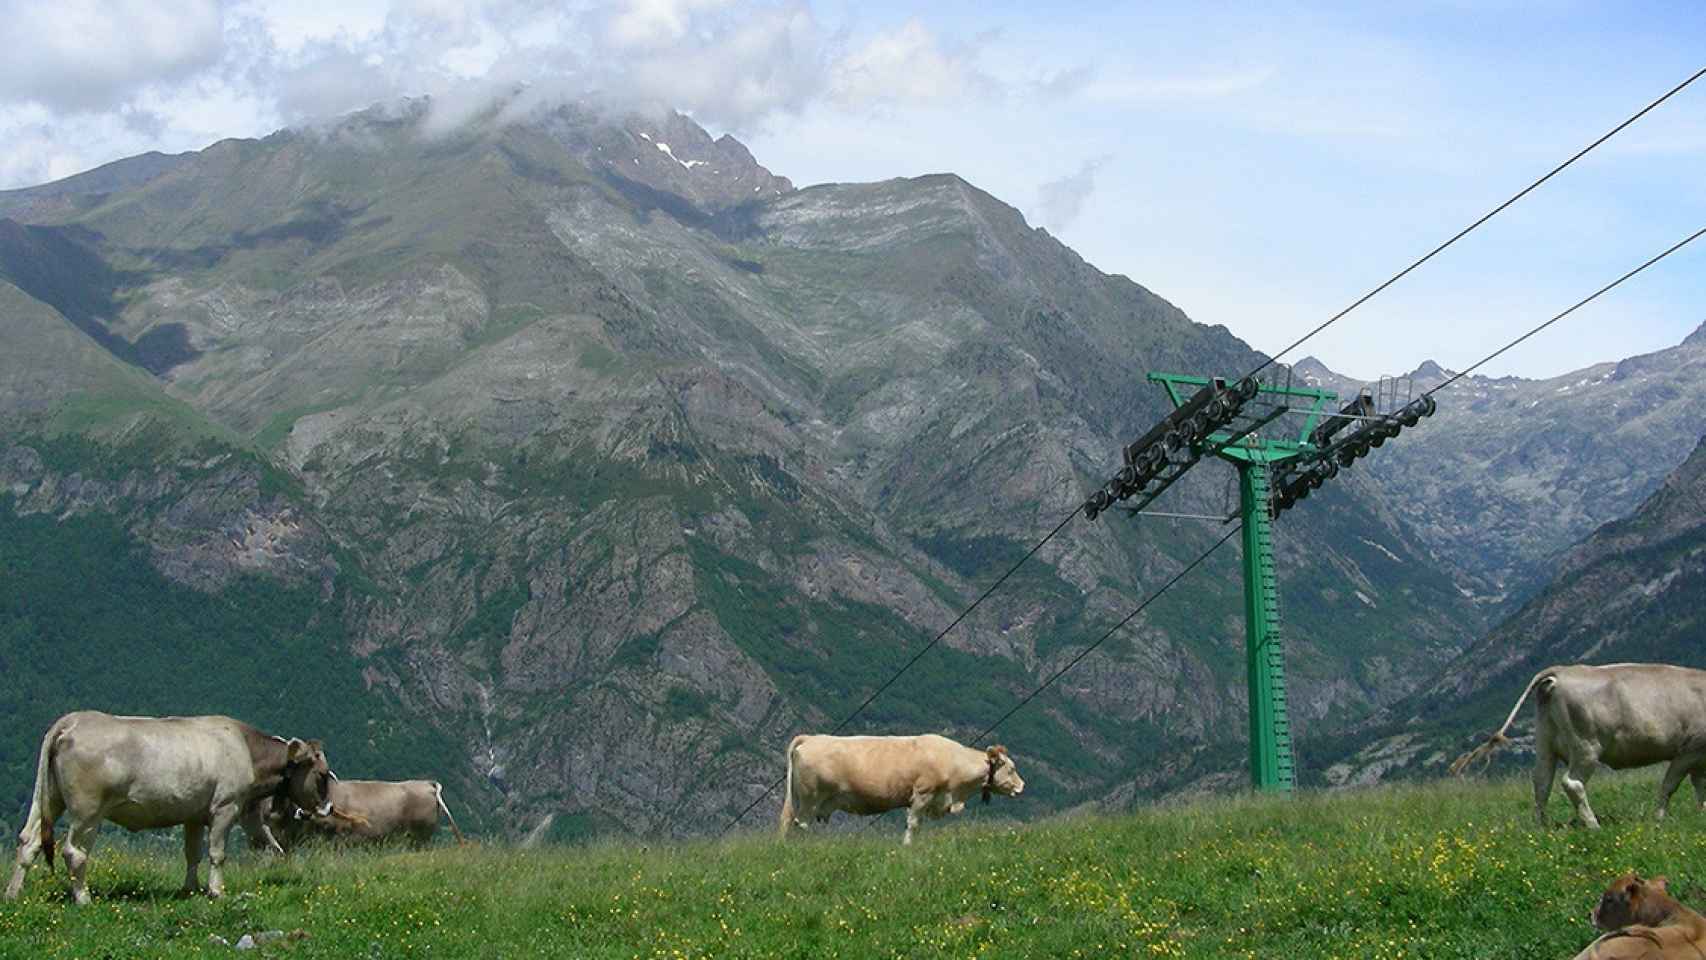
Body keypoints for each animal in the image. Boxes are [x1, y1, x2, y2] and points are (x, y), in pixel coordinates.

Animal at [2, 709, 342, 907]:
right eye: (322, 775)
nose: (328, 808)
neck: (246, 749)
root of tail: (71, 721)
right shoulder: (225, 808)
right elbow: (217, 854)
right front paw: (216, 891)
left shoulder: (193, 815)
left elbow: (192, 854)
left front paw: (190, 889)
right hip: (87, 811)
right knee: (74, 851)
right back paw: (83, 899)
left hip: (49, 799)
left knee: (29, 841)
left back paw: (13, 894)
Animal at [777, 733, 1023, 845]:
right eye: (1011, 768)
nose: (1022, 786)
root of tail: (813, 737)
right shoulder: (922, 794)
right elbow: (913, 824)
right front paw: (907, 846)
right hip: (810, 799)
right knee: (801, 824)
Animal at [1453, 665, 1706, 828]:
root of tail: (1562, 671)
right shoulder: (1689, 750)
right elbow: (1669, 786)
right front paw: (1659, 819)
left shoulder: (1699, 759)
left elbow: (1699, 786)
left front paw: (1701, 813)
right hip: (1586, 746)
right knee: (1571, 783)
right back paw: (1593, 825)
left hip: (1545, 742)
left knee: (1541, 781)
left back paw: (1541, 826)